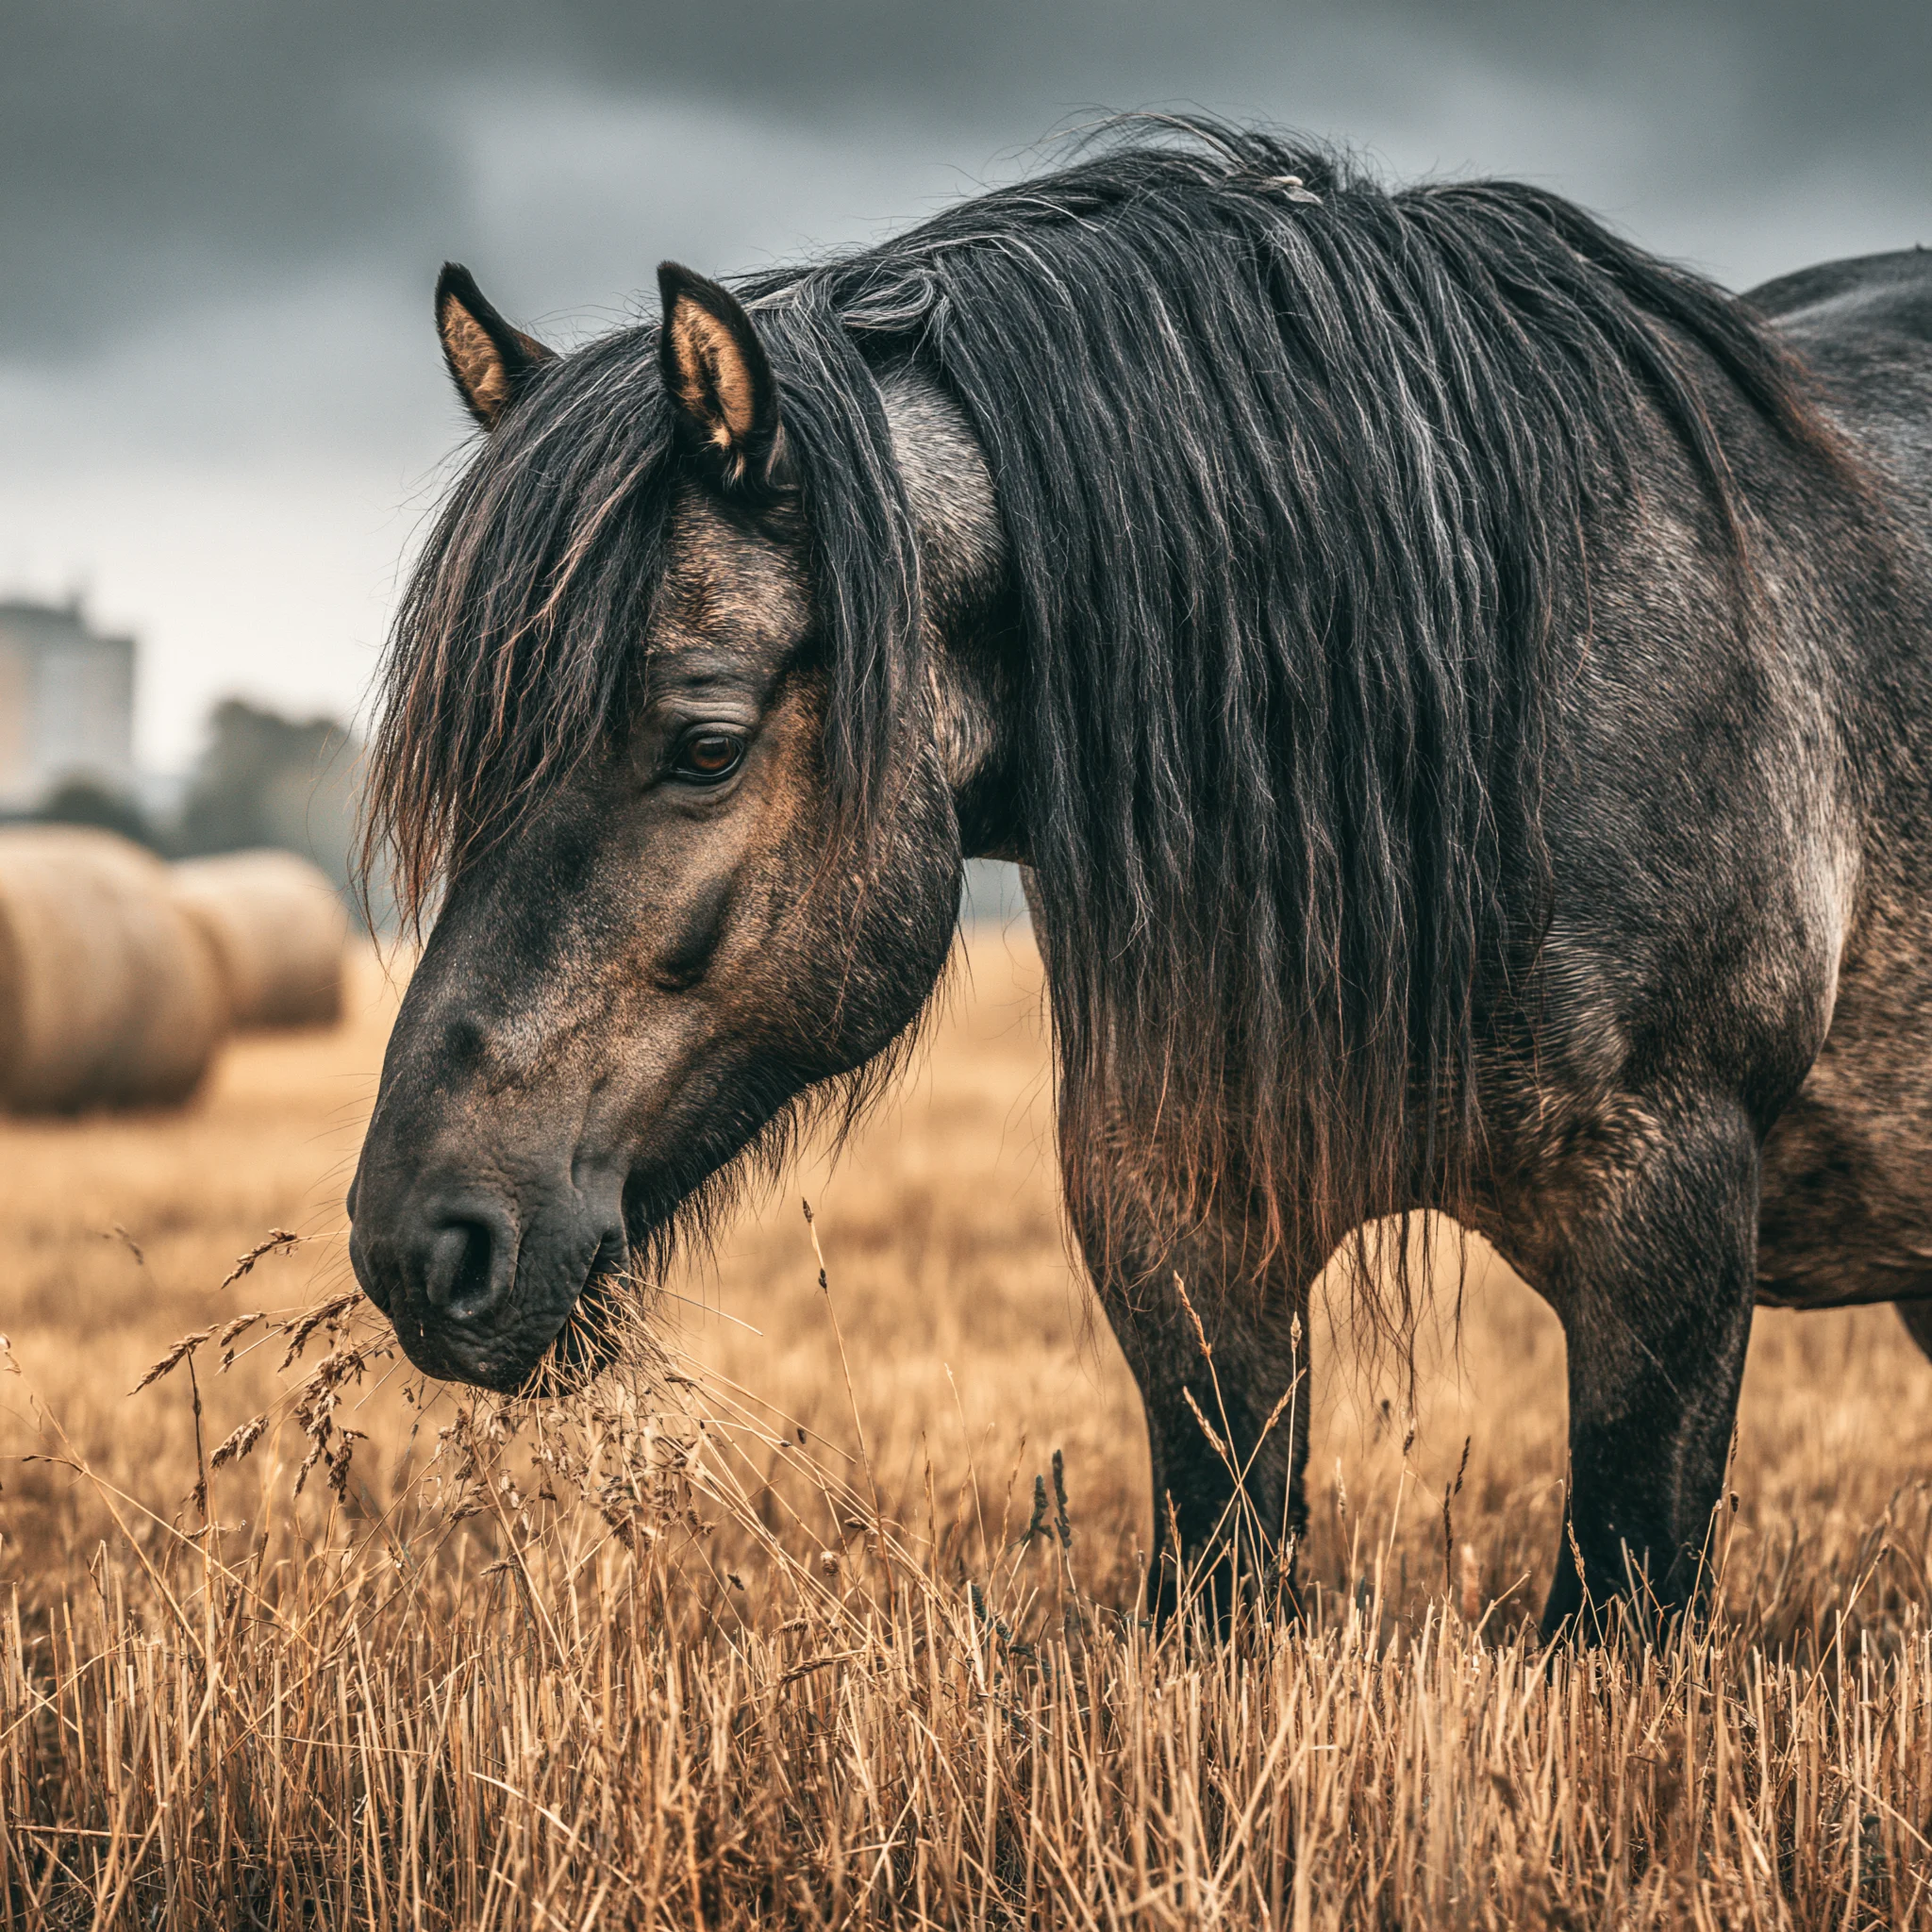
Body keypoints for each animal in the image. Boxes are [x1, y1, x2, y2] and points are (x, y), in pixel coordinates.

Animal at [347, 119, 1932, 1637]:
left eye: (706, 745)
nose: (423, 1246)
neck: (1473, 697)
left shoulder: (1668, 1222)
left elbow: (1616, 1606)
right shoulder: (1180, 1219)